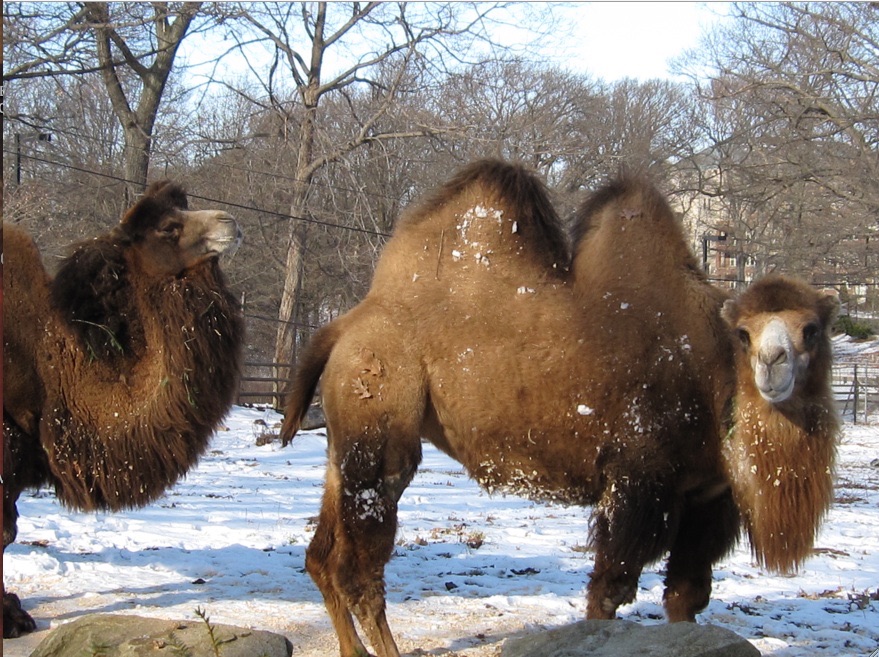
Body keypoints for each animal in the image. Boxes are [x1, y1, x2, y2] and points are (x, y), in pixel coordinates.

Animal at [280, 160, 840, 656]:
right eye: (744, 334)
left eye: (812, 329)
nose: (772, 364)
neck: (711, 374)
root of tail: (342, 326)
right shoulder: (639, 481)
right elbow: (608, 592)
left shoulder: (708, 497)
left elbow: (686, 598)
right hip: (380, 420)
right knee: (359, 567)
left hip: (345, 439)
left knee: (321, 555)